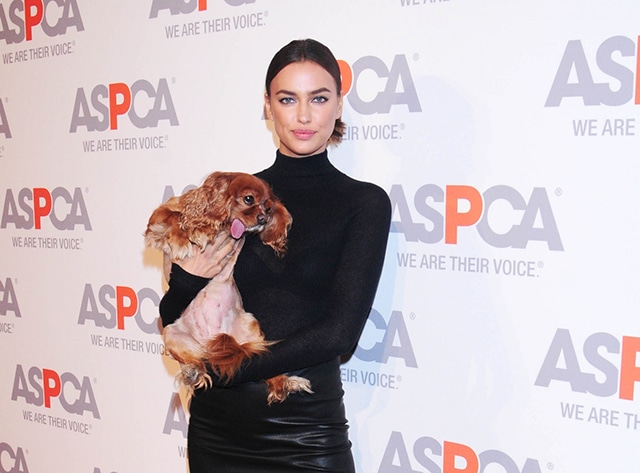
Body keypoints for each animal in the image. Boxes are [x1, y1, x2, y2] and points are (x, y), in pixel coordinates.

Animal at [146, 171, 316, 404]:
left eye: (268, 208)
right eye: (249, 199)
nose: (263, 219)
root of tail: (209, 340)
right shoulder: (161, 212)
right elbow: (173, 217)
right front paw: (183, 239)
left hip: (252, 331)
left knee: (264, 362)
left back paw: (286, 382)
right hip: (172, 334)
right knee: (195, 361)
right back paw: (193, 372)